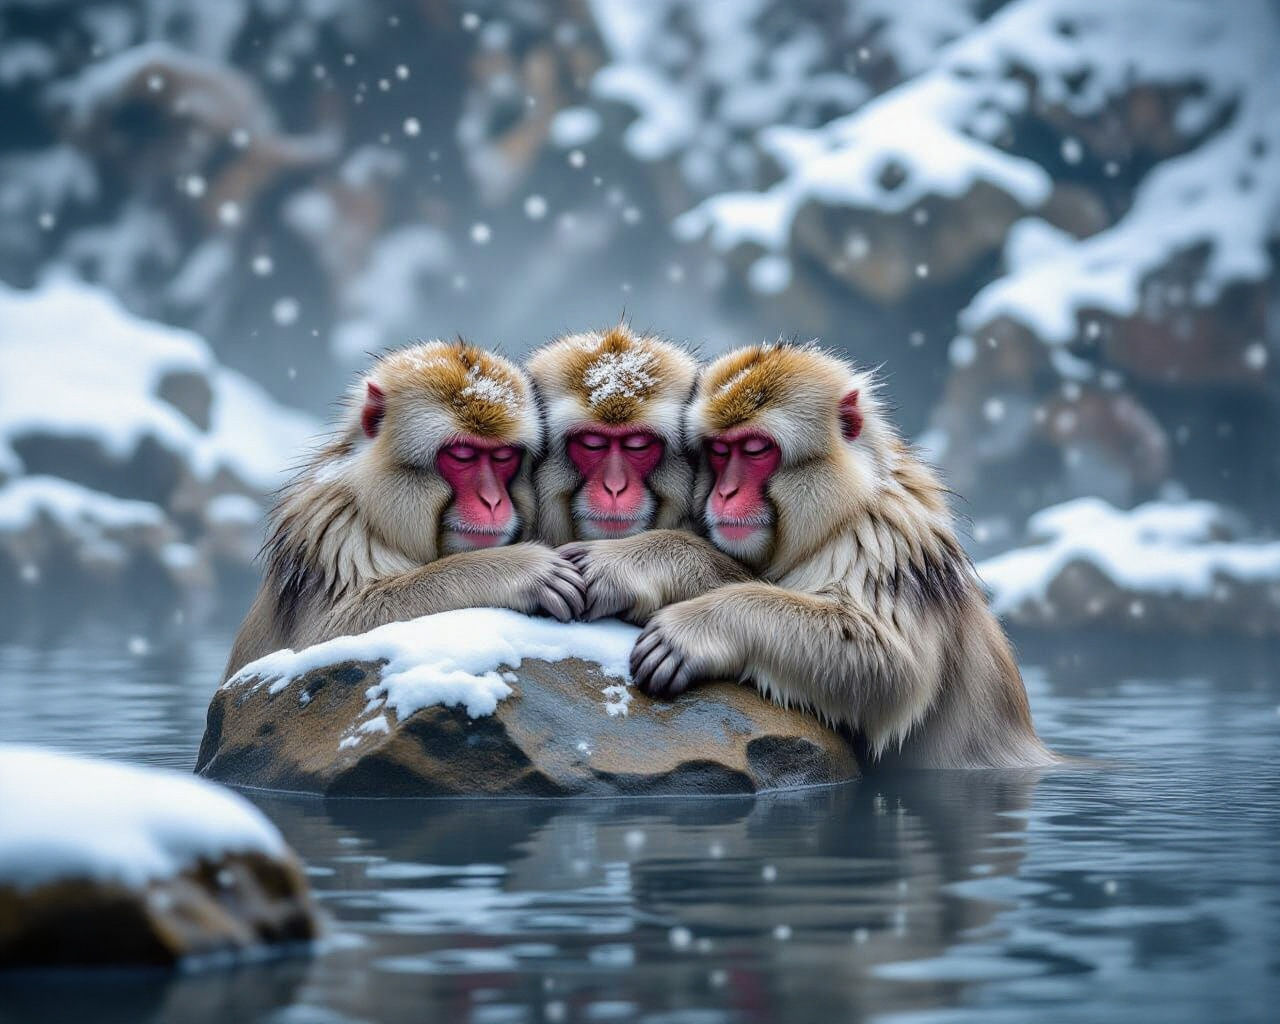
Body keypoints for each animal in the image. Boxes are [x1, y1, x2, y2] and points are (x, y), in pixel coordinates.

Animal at [222, 340, 585, 680]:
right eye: (463, 454)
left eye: (502, 456)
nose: (493, 501)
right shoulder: (334, 531)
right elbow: (324, 636)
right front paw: (518, 570)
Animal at [618, 342, 1057, 770]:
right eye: (720, 450)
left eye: (756, 449)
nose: (724, 493)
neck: (843, 511)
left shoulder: (885, 539)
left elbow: (888, 666)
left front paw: (696, 627)